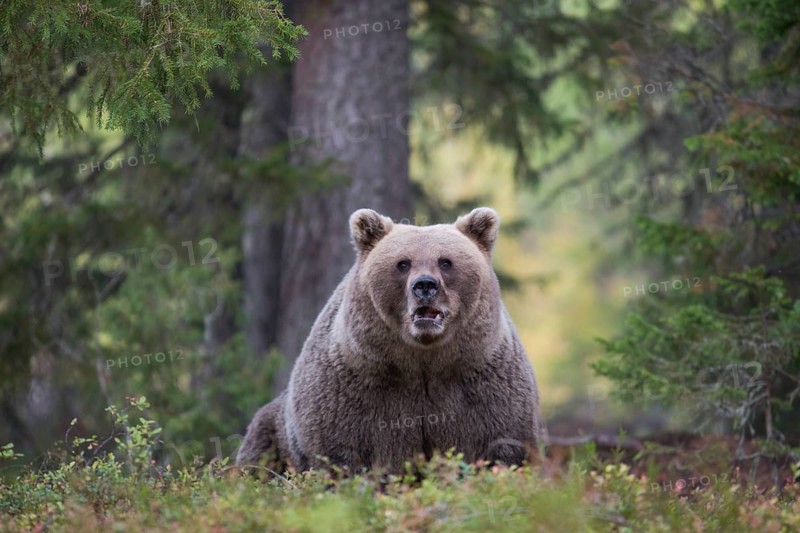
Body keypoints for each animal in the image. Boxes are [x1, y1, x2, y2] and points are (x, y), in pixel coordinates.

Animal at [236, 207, 542, 473]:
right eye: (403, 263)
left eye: (445, 261)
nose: (425, 285)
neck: (423, 362)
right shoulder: (353, 390)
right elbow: (338, 452)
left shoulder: (482, 384)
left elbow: (504, 445)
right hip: (271, 430)